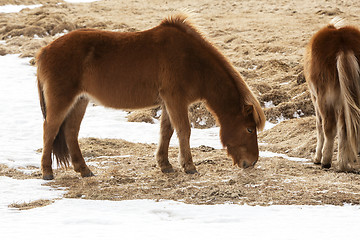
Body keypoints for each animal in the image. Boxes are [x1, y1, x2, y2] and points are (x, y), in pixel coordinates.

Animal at [36, 14, 266, 180]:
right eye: (249, 129)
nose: (252, 162)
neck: (192, 61)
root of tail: (44, 51)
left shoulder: (168, 103)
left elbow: (166, 131)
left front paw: (165, 165)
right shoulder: (175, 100)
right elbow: (184, 130)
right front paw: (189, 166)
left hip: (80, 101)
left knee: (70, 132)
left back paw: (84, 170)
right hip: (62, 100)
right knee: (50, 130)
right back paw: (47, 172)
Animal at [306, 18, 360, 172]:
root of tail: (343, 46)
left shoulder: (315, 98)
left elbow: (319, 126)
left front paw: (317, 158)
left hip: (325, 99)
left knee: (329, 127)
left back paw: (325, 161)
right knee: (346, 127)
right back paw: (343, 163)